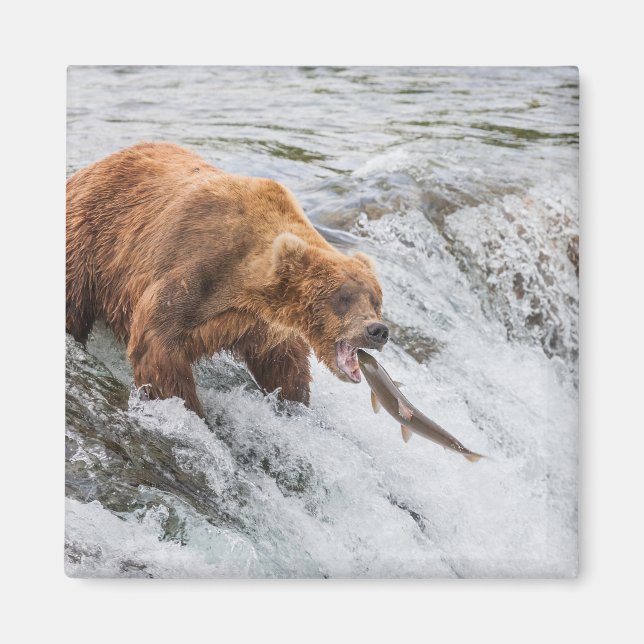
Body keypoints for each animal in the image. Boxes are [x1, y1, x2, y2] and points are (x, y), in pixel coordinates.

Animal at [66, 142, 389, 418]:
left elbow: (283, 362)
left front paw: (294, 402)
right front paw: (191, 410)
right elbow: (156, 347)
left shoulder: (260, 323)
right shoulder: (193, 269)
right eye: (343, 298)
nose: (377, 330)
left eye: (375, 300)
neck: (244, 282)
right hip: (90, 244)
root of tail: (90, 168)